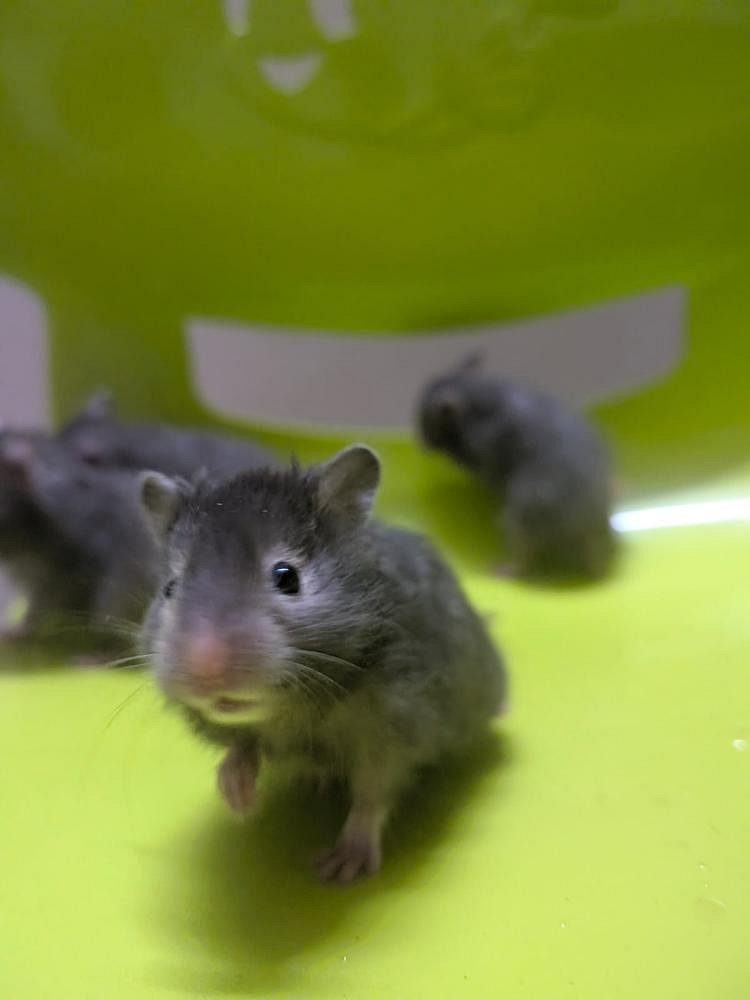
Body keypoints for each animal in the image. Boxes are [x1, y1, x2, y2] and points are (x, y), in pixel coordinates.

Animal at [138, 445, 506, 882]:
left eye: (287, 577)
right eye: (170, 588)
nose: (207, 675)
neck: (293, 710)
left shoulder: (394, 731)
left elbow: (374, 792)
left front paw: (341, 868)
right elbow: (242, 746)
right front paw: (239, 800)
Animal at [417, 357, 615, 580]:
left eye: (426, 418)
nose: (421, 445)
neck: (474, 392)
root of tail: (588, 529)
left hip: (519, 523)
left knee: (525, 562)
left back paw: (499, 569)